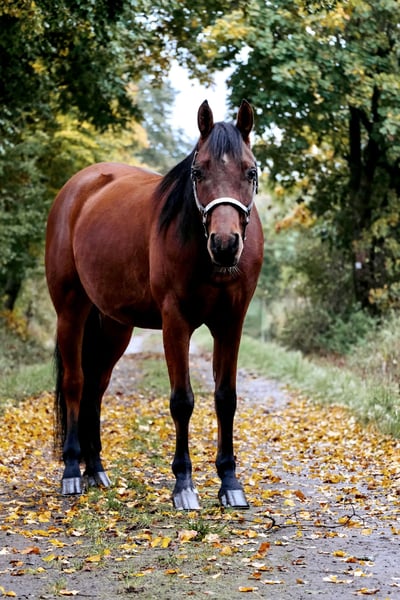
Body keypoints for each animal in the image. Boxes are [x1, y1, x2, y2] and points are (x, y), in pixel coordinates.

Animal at [45, 99, 264, 510]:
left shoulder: (231, 322)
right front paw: (184, 485)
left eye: (251, 171)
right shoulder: (175, 322)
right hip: (70, 311)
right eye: (198, 171)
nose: (225, 244)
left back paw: (95, 469)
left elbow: (225, 398)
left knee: (95, 388)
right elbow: (182, 401)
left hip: (115, 327)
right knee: (75, 383)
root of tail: (79, 187)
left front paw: (230, 482)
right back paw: (71, 472)